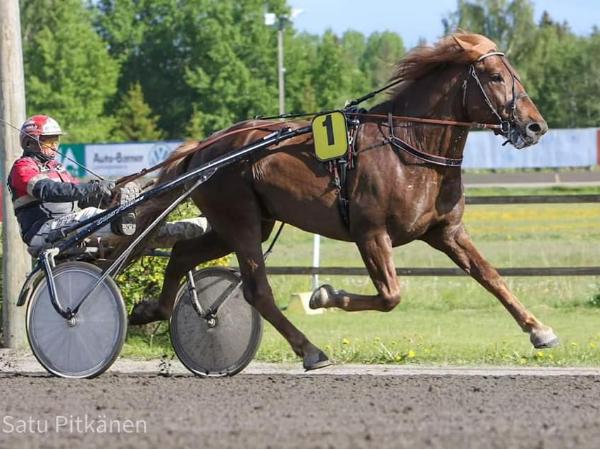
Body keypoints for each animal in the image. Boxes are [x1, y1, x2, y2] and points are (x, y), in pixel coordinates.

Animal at [128, 32, 557, 370]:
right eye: (496, 76)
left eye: (515, 75)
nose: (535, 126)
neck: (409, 147)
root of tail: (204, 147)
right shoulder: (371, 233)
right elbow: (390, 295)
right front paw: (324, 295)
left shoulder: (446, 230)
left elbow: (491, 276)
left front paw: (539, 330)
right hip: (240, 220)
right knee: (256, 290)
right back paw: (310, 350)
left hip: (238, 223)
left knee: (182, 254)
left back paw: (151, 311)